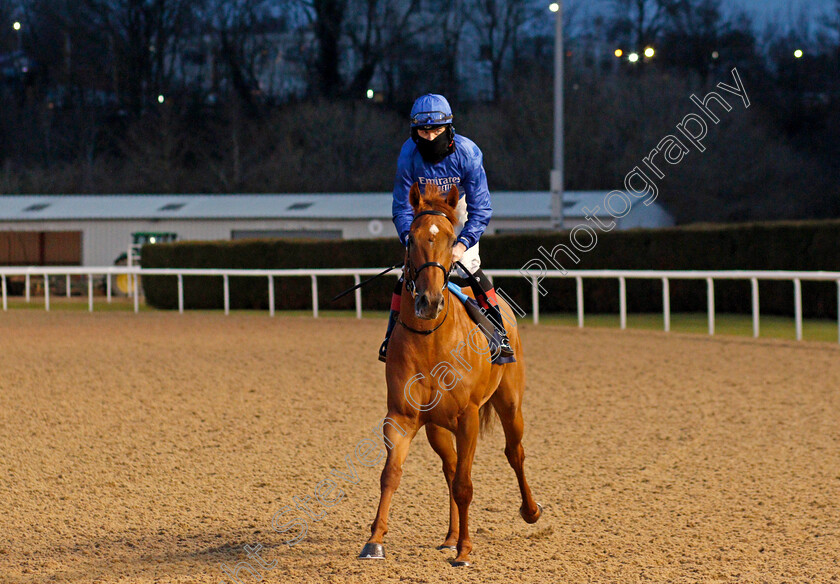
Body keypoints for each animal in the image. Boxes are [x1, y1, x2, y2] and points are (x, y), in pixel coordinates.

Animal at [358, 184, 540, 564]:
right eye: (411, 238)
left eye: (450, 238)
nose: (428, 301)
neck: (431, 341)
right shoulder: (401, 416)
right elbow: (391, 474)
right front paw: (375, 539)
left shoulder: (467, 416)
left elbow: (465, 485)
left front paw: (465, 550)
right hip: (437, 428)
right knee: (451, 466)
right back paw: (451, 535)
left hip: (510, 404)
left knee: (514, 452)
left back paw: (529, 511)